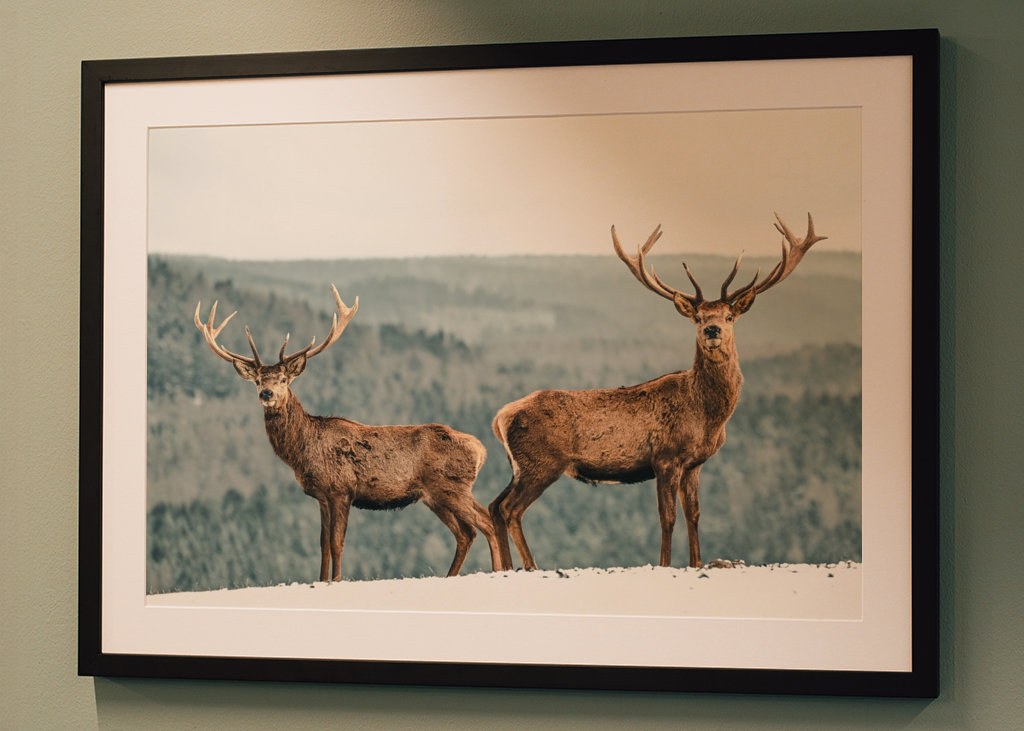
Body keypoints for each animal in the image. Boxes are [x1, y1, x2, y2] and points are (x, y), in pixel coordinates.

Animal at [193, 285, 503, 582]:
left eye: (283, 379)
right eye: (257, 380)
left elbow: (337, 543)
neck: (303, 452)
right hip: (436, 495)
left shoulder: (342, 490)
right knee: (466, 532)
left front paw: (338, 581)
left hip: (452, 486)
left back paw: (499, 571)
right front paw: (321, 581)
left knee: (485, 521)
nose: (266, 394)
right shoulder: (322, 496)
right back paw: (451, 575)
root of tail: (481, 450)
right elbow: (323, 545)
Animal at [488, 213, 826, 571]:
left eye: (729, 315)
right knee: (510, 509)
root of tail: (501, 417)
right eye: (698, 316)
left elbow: (694, 514)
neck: (708, 417)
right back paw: (529, 565)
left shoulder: (694, 464)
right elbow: (667, 518)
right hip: (542, 462)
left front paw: (696, 563)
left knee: (495, 505)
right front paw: (665, 564)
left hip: (521, 466)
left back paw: (505, 567)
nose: (712, 330)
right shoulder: (666, 457)